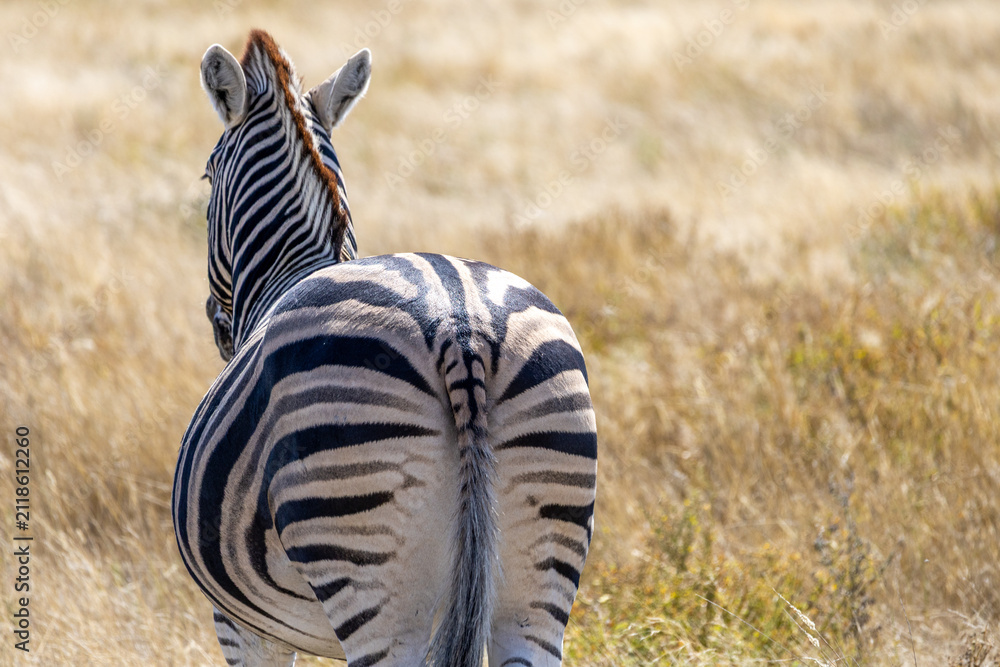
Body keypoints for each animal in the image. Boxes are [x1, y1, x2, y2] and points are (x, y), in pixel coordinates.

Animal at [172, 30, 597, 667]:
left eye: (206, 176)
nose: (219, 327)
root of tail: (460, 327)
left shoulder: (242, 625)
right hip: (538, 578)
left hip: (364, 565)